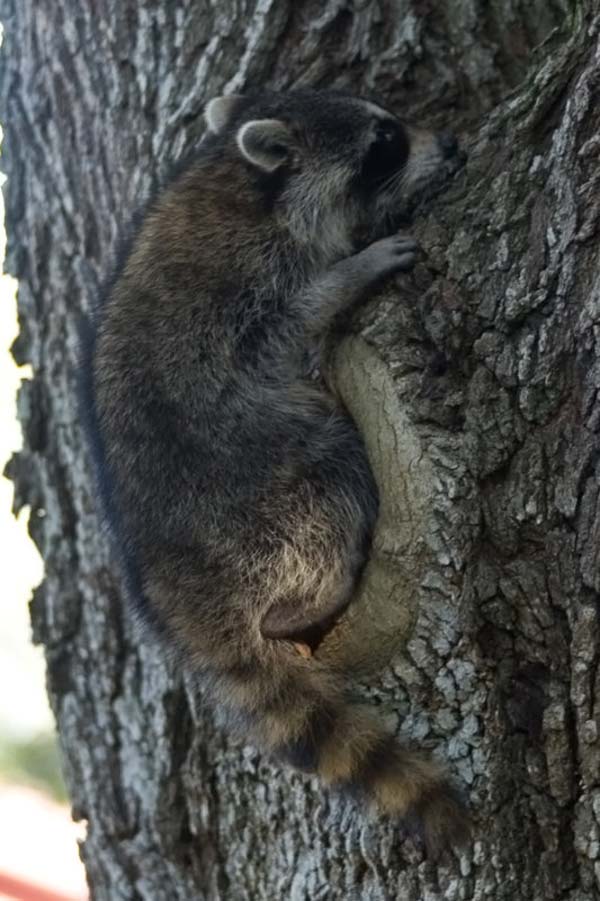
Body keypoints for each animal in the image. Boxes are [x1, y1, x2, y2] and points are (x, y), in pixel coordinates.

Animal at [85, 88, 468, 856]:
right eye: (385, 142)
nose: (450, 145)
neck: (247, 185)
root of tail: (174, 580)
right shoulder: (247, 290)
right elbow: (295, 318)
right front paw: (357, 268)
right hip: (265, 489)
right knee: (331, 474)